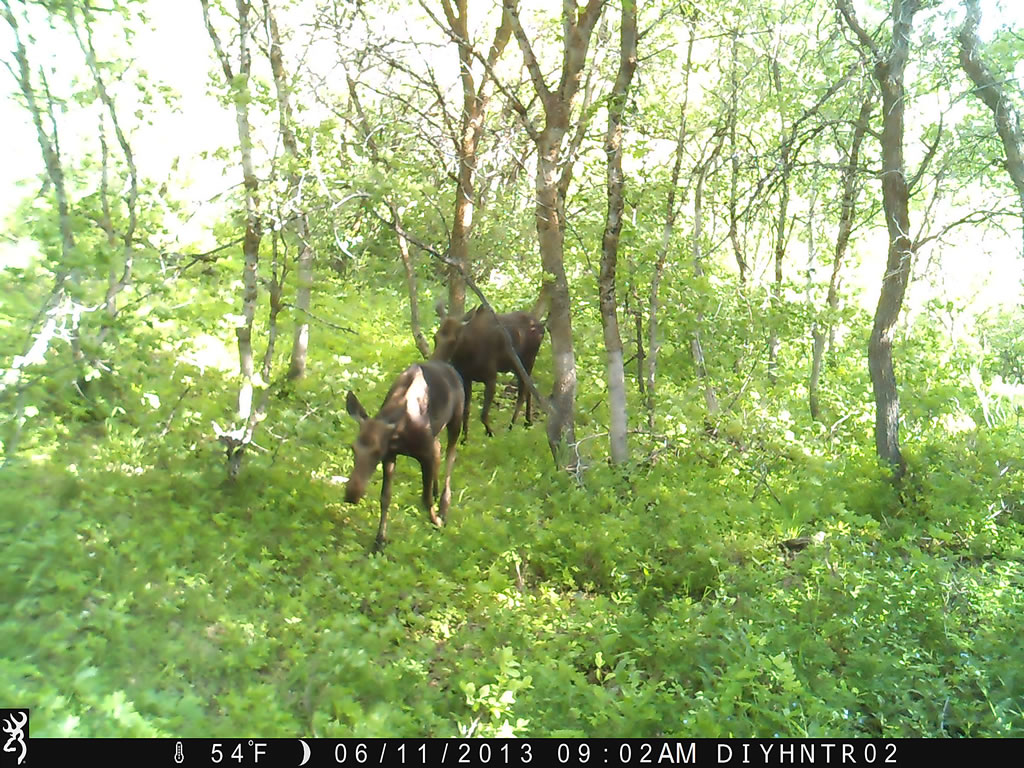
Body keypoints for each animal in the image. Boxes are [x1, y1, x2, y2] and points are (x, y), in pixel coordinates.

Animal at [344, 360, 465, 551]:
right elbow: (385, 497)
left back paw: (444, 506)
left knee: (451, 454)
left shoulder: (424, 454)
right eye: (353, 448)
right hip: (436, 433)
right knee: (439, 449)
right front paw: (379, 541)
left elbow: (426, 499)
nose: (351, 494)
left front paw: (437, 521)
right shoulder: (390, 455)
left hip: (456, 418)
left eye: (377, 451)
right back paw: (437, 492)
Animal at [432, 302, 545, 443]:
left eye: (454, 340)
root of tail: (541, 326)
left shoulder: (491, 377)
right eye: (435, 337)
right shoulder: (466, 378)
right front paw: (464, 439)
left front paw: (490, 433)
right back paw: (527, 422)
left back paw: (511, 426)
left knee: (522, 393)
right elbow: (466, 411)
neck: (466, 353)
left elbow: (483, 414)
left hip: (527, 360)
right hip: (517, 366)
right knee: (529, 388)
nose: (434, 360)